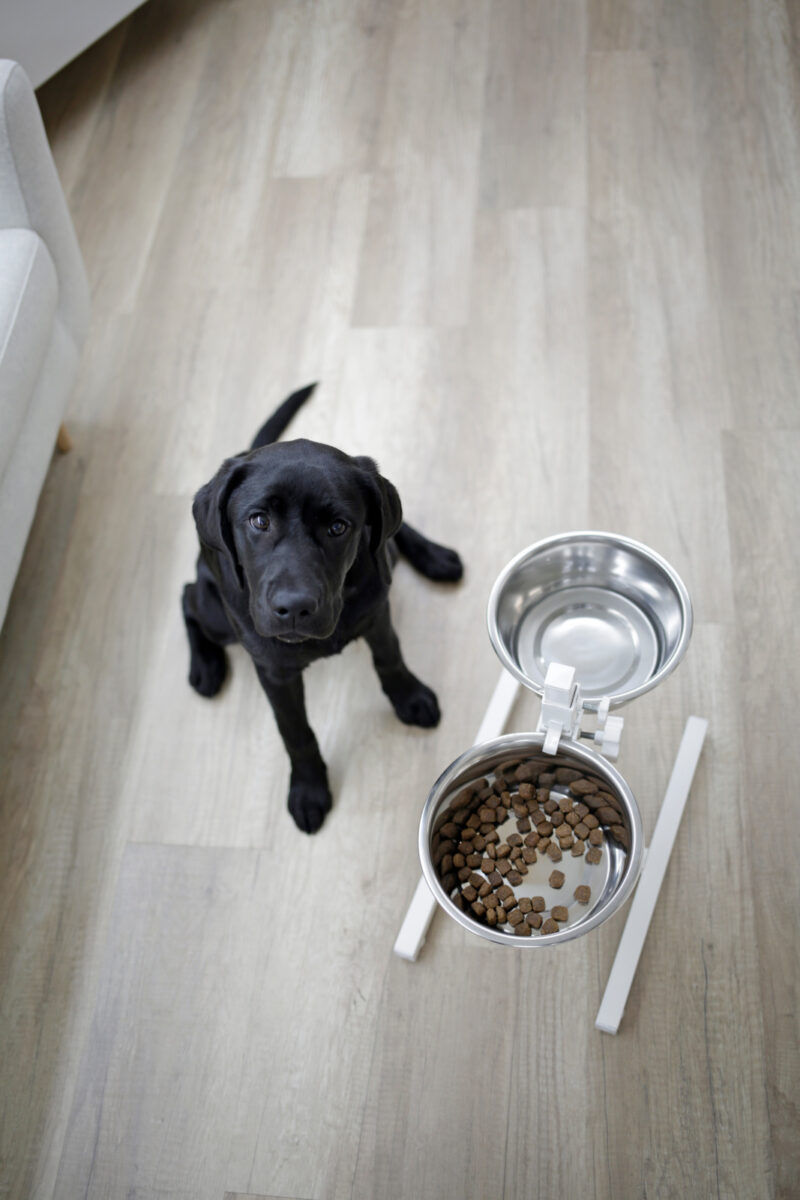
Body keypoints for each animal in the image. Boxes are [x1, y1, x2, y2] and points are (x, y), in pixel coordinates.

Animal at [182, 386, 462, 835]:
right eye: (258, 520)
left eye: (338, 527)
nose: (294, 608)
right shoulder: (275, 671)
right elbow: (295, 731)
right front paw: (308, 789)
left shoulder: (377, 612)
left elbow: (390, 658)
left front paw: (409, 696)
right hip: (216, 614)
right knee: (187, 595)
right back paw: (205, 665)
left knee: (392, 533)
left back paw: (434, 556)